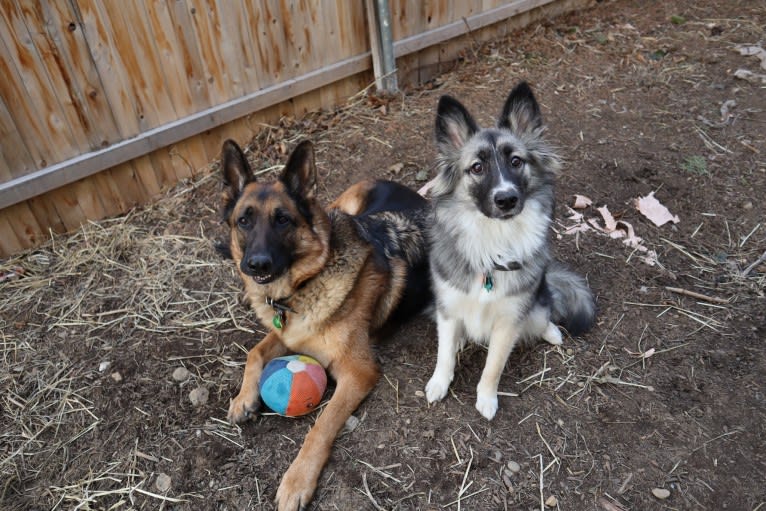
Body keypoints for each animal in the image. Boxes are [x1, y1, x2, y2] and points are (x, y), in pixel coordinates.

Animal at [219, 138, 432, 510]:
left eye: (283, 220)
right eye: (243, 221)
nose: (256, 264)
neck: (305, 284)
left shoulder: (358, 372)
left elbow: (321, 425)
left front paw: (297, 480)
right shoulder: (287, 331)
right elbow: (254, 353)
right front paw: (244, 398)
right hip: (340, 206)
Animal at [424, 83, 596, 420]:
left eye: (516, 161)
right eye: (477, 167)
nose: (506, 199)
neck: (493, 243)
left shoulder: (509, 320)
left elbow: (494, 365)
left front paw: (487, 398)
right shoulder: (449, 308)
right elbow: (444, 353)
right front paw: (439, 382)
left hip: (537, 302)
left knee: (544, 314)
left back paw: (552, 332)